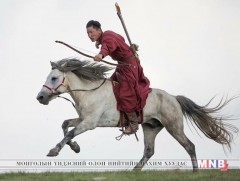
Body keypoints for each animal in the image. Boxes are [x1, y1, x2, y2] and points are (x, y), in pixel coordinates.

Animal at [37, 58, 238, 171]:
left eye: (53, 78)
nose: (40, 97)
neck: (90, 91)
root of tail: (173, 97)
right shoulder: (82, 119)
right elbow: (65, 125)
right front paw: (75, 147)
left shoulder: (90, 123)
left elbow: (70, 132)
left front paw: (54, 150)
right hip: (150, 127)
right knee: (149, 151)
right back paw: (133, 171)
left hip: (174, 127)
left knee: (190, 146)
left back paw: (196, 172)